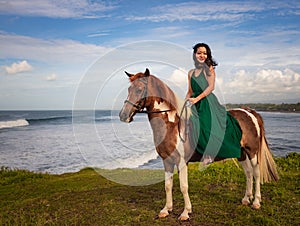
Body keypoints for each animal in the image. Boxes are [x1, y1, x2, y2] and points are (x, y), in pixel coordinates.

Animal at [118, 68, 278, 221]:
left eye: (139, 89)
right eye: (129, 89)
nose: (123, 115)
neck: (172, 125)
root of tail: (249, 112)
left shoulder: (182, 162)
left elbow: (183, 186)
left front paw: (185, 212)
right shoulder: (167, 161)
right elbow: (168, 186)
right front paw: (166, 210)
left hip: (252, 152)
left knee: (256, 173)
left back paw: (256, 201)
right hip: (242, 153)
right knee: (248, 173)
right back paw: (246, 199)